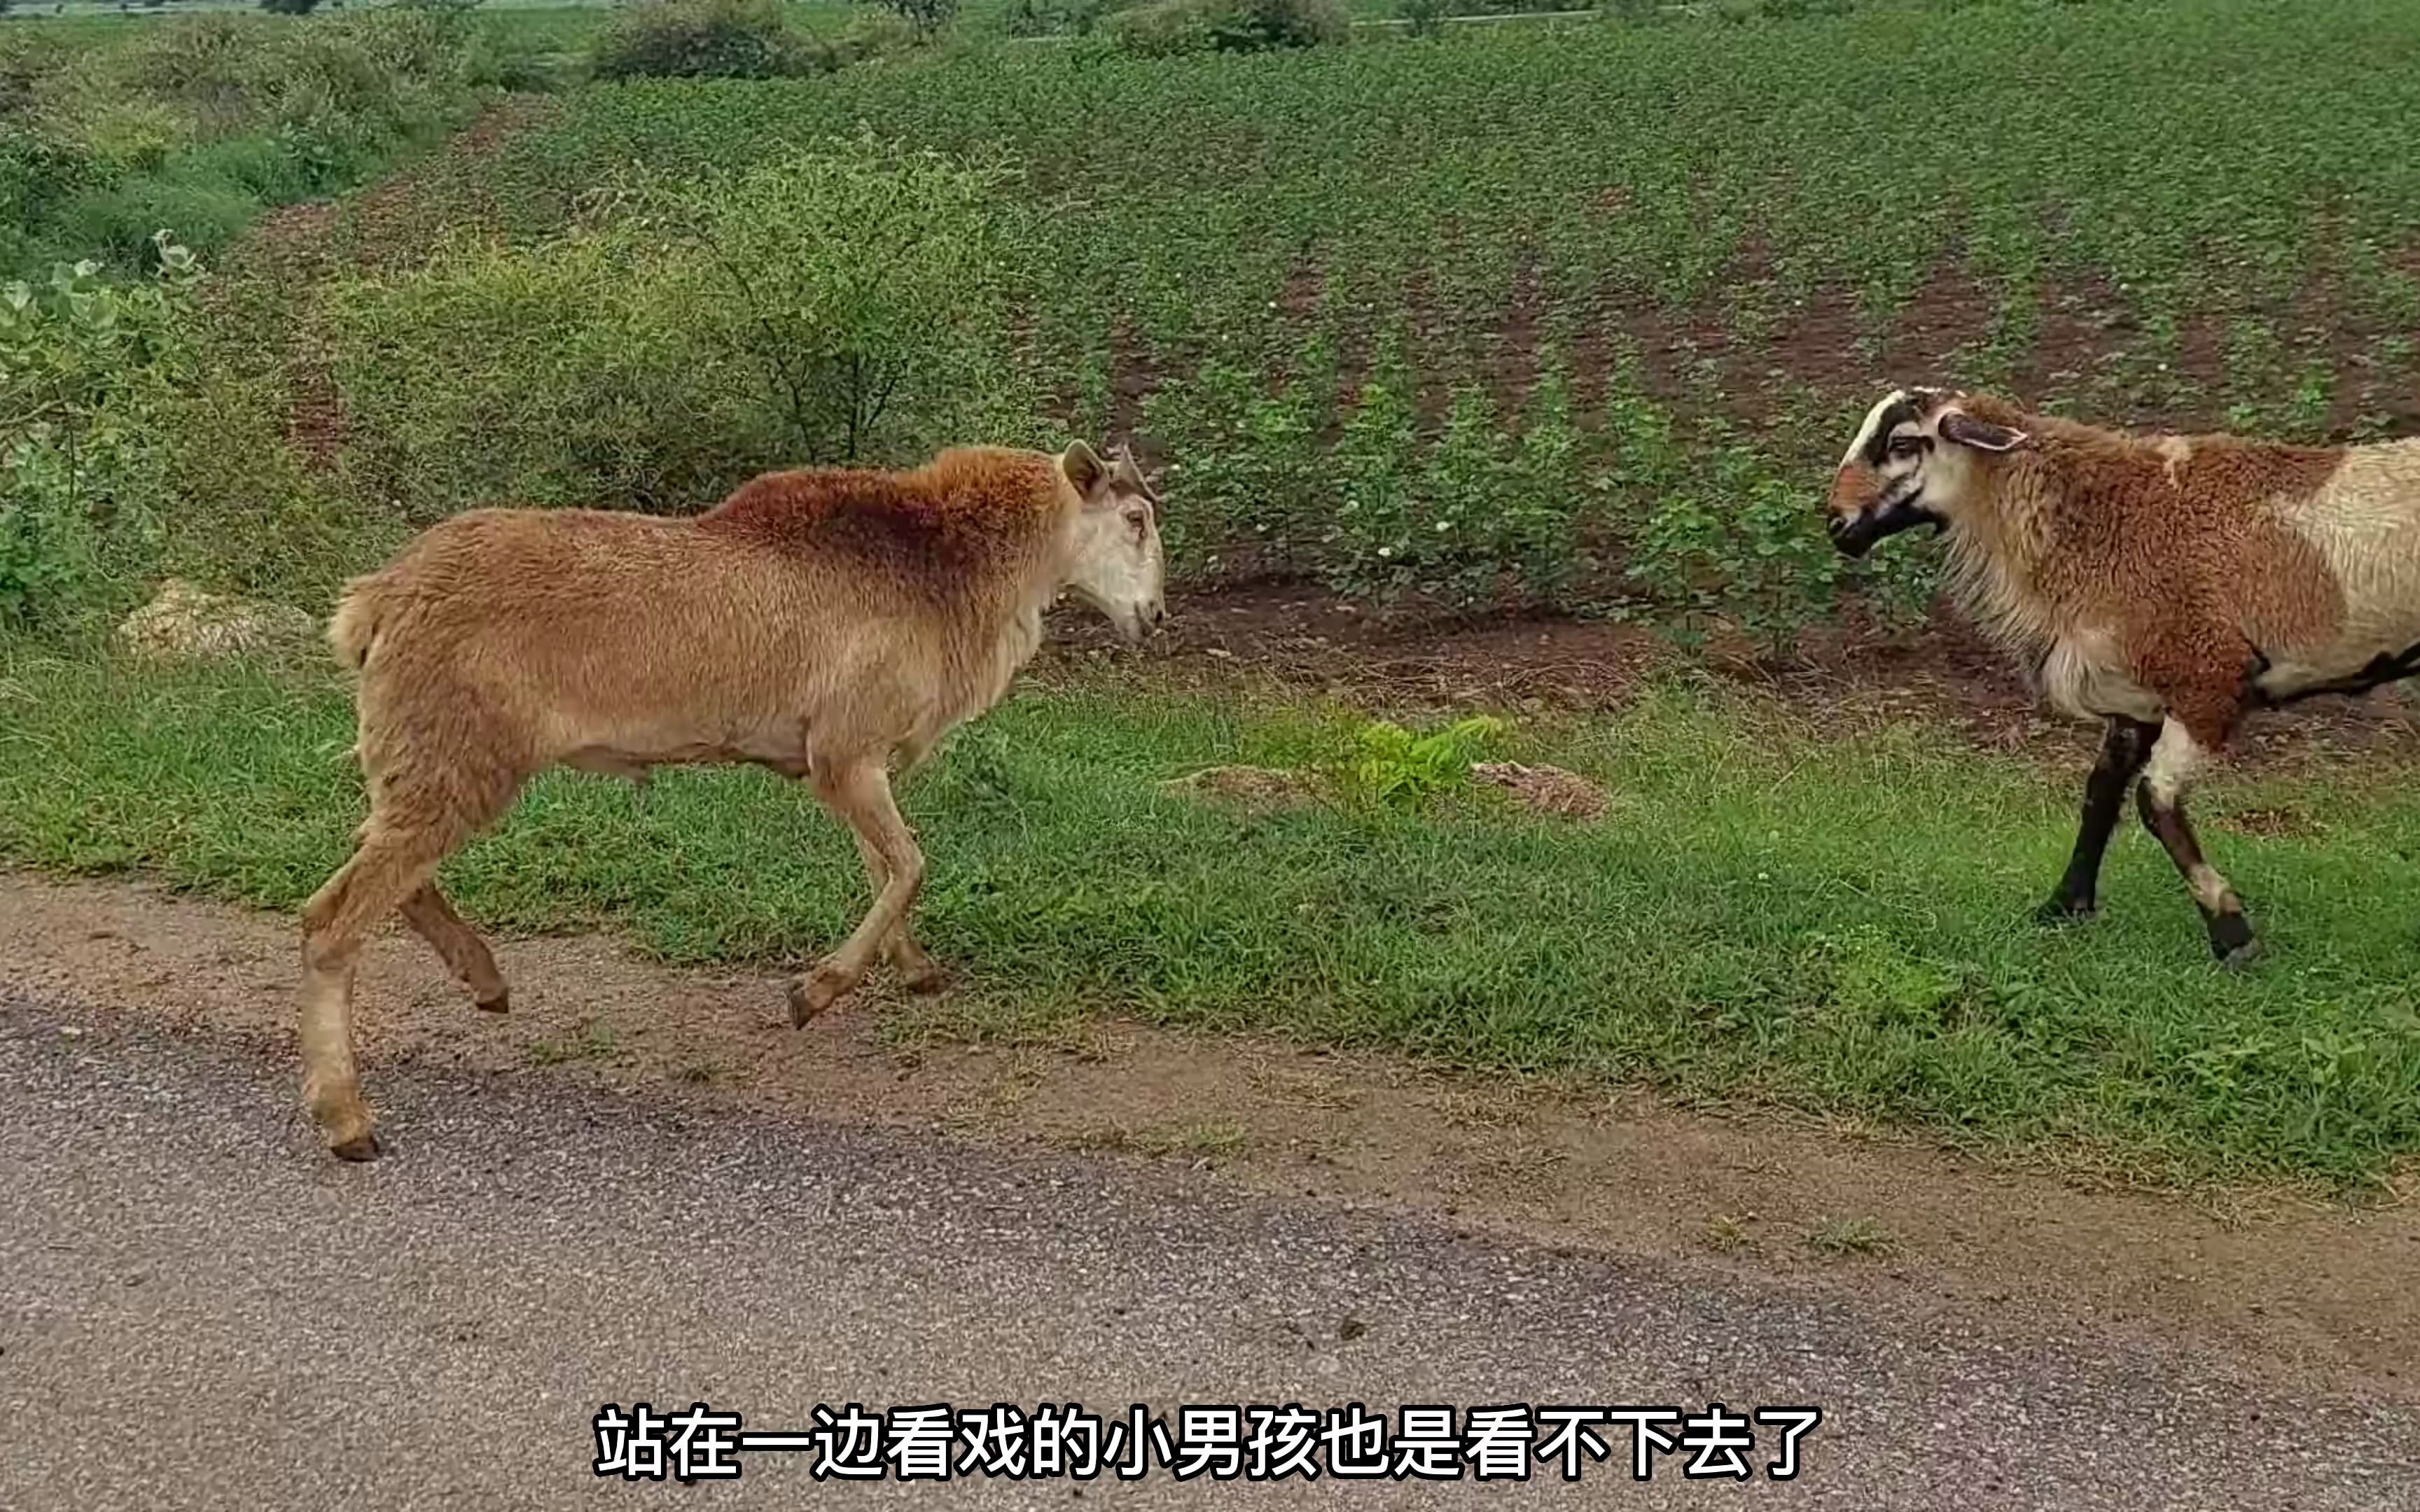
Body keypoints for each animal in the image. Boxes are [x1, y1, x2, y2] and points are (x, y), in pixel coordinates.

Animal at [298, 435, 1166, 1156]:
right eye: (1134, 519)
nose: (1155, 615)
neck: (954, 574)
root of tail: (372, 604)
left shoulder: (853, 763)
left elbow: (884, 867)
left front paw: (916, 970)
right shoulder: (844, 751)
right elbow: (911, 866)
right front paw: (814, 991)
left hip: (425, 764)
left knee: (371, 873)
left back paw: (483, 977)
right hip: (455, 759)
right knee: (332, 921)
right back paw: (348, 1119)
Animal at [1829, 382, 2420, 962]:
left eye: (1903, 443)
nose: (1836, 524)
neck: (2102, 515)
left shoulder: (2205, 676)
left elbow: (2154, 803)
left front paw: (2233, 935)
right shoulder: (2136, 697)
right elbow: (2101, 792)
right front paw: (2063, 906)